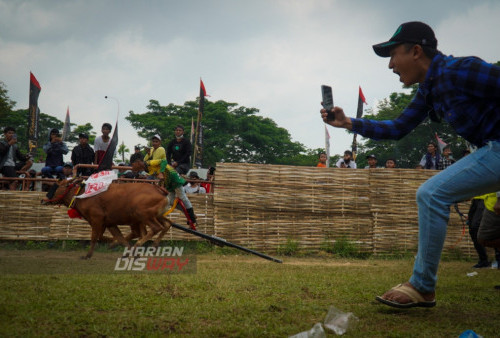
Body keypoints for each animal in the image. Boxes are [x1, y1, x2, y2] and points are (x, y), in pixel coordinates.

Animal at [40, 180, 172, 258]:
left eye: (55, 187)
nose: (42, 200)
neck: (82, 196)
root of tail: (160, 191)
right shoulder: (109, 223)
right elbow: (118, 238)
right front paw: (121, 248)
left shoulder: (96, 220)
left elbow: (95, 237)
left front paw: (88, 255)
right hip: (155, 216)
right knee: (166, 224)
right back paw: (148, 247)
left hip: (142, 215)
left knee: (156, 228)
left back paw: (140, 245)